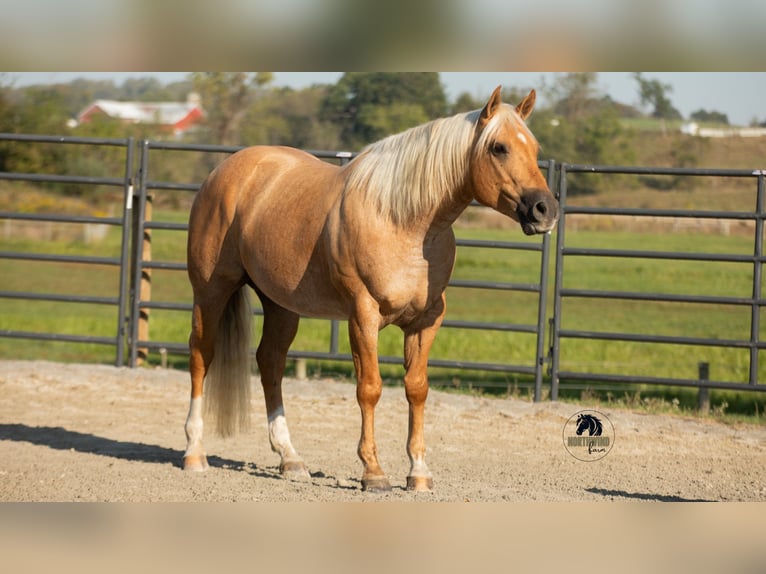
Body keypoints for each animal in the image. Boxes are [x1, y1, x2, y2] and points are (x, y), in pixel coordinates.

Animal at [183, 85, 559, 491]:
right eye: (498, 148)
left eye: (534, 148)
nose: (545, 209)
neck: (403, 224)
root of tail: (226, 171)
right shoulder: (363, 316)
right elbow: (370, 387)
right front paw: (373, 472)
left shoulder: (426, 321)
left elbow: (417, 388)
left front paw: (418, 472)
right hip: (211, 292)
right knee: (202, 356)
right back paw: (194, 453)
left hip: (280, 303)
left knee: (270, 363)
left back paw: (290, 459)